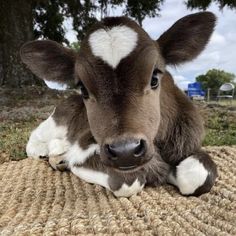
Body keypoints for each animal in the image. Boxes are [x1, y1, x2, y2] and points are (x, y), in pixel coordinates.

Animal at [20, 12, 218, 197]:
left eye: (154, 78)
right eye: (83, 88)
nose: (125, 151)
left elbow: (198, 176)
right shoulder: (85, 148)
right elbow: (128, 182)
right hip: (56, 120)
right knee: (34, 140)